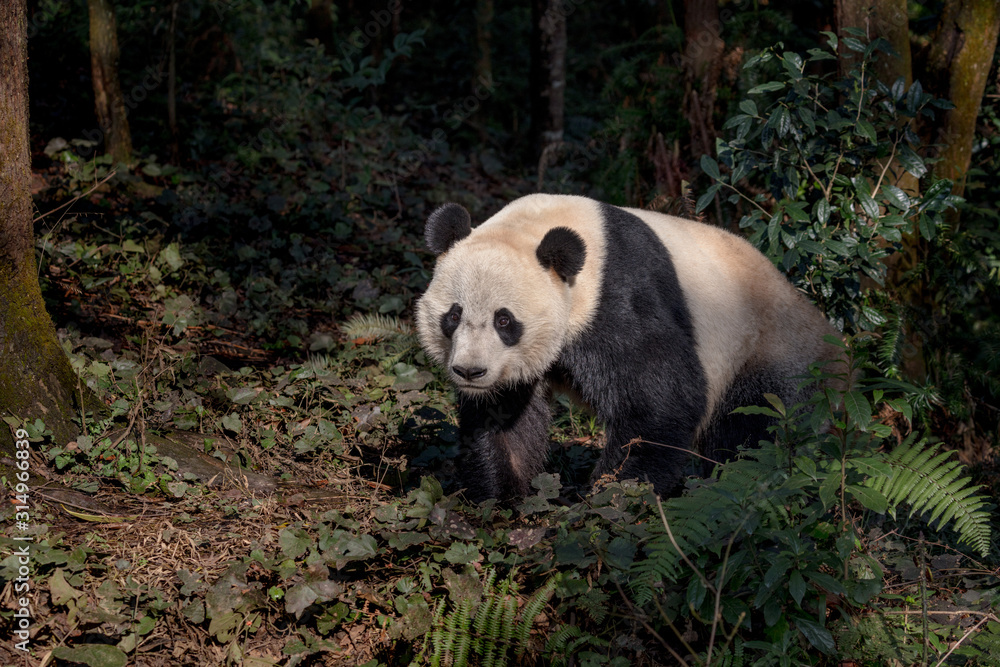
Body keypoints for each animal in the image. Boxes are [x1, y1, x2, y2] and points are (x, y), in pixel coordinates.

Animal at [416, 193, 841, 501]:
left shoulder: (617, 299)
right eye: (453, 315)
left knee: (756, 433)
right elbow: (505, 416)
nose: (470, 371)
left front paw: (610, 495)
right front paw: (502, 495)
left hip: (773, 353)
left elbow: (661, 399)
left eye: (504, 321)